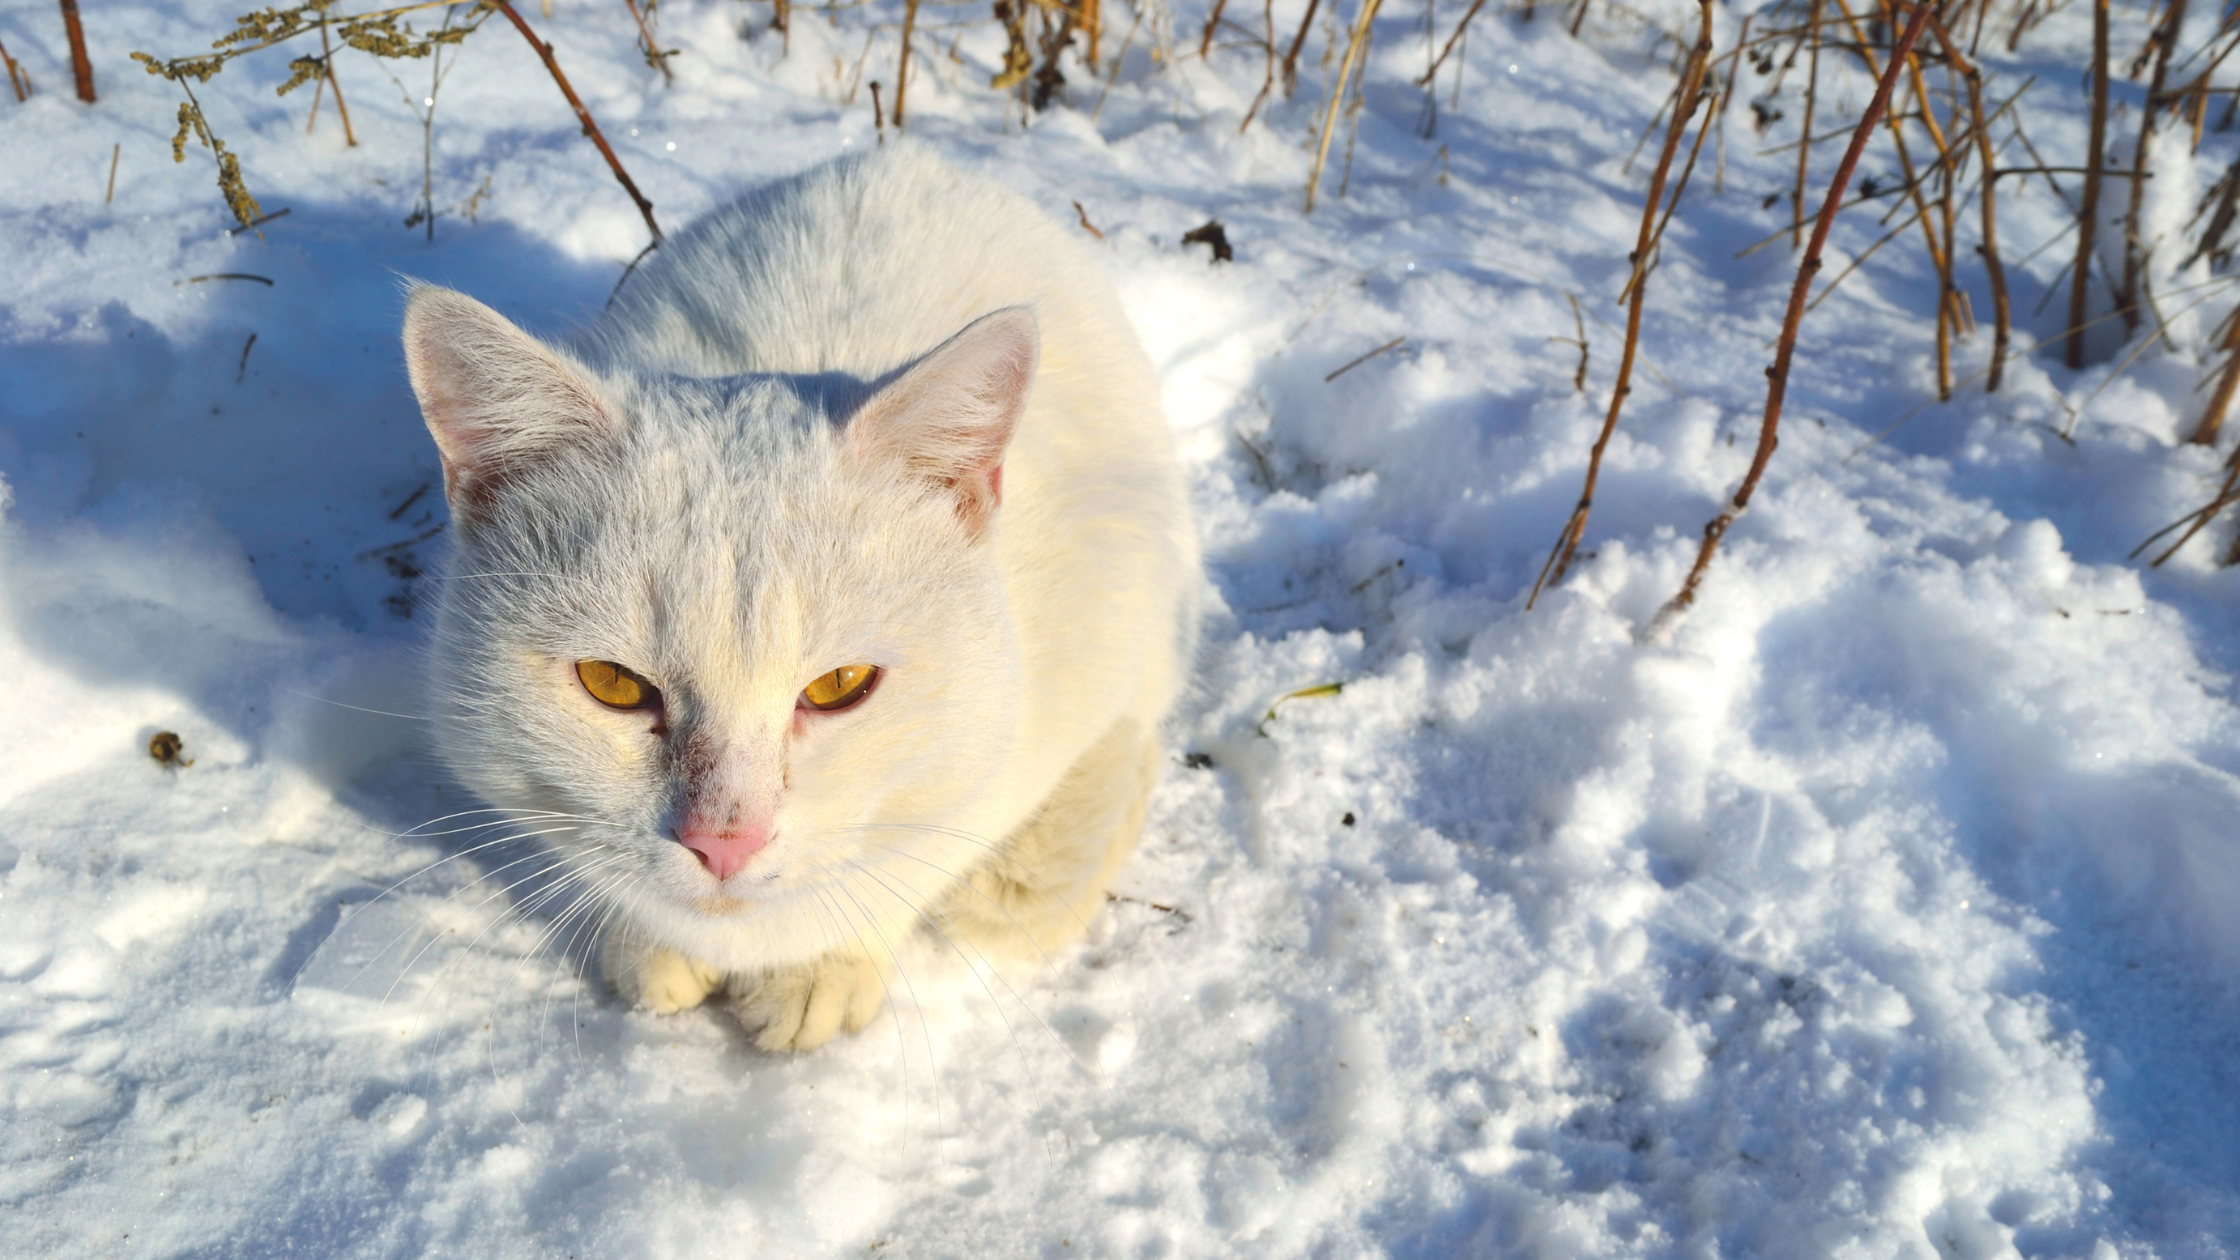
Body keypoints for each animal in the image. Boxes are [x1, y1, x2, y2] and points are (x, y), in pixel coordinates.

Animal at [409, 144, 1200, 1049]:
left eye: (841, 687)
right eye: (611, 684)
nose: (723, 842)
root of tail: (911, 157)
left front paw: (822, 967)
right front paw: (649, 943)